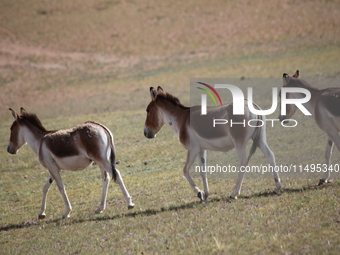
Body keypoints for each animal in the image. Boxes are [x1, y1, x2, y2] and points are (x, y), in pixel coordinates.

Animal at [6, 108, 134, 219]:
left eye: (11, 128)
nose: (9, 149)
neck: (40, 142)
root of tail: (100, 126)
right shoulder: (54, 169)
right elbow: (45, 187)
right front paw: (41, 213)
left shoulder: (52, 169)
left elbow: (61, 187)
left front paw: (67, 212)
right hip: (101, 161)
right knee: (105, 179)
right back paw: (100, 208)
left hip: (101, 160)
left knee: (116, 173)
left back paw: (129, 203)